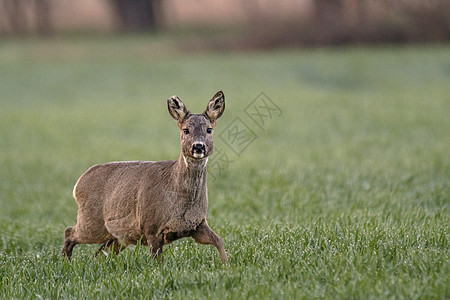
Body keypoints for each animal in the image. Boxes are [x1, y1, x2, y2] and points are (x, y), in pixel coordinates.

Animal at [61, 91, 227, 262]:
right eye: (186, 130)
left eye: (209, 129)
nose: (198, 146)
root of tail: (77, 184)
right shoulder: (151, 226)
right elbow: (158, 261)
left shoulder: (197, 224)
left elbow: (219, 241)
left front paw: (226, 265)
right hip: (92, 222)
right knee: (69, 232)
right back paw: (65, 260)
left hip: (117, 236)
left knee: (98, 253)